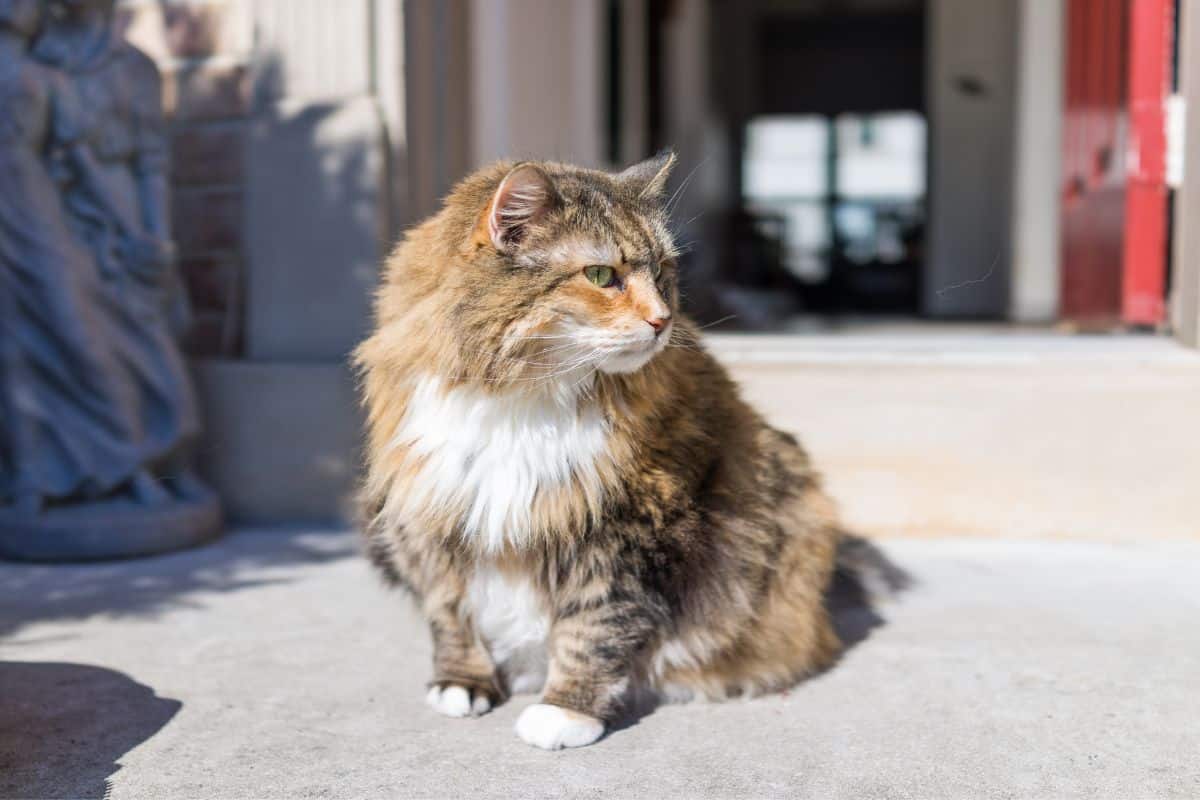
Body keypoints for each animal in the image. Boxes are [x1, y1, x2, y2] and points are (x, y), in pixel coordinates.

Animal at [352, 151, 844, 753]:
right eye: (601, 275)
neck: (522, 402)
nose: (663, 321)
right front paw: (462, 683)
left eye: (663, 272)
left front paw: (565, 711)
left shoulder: (627, 531)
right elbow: (450, 612)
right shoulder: (428, 510)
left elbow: (595, 627)